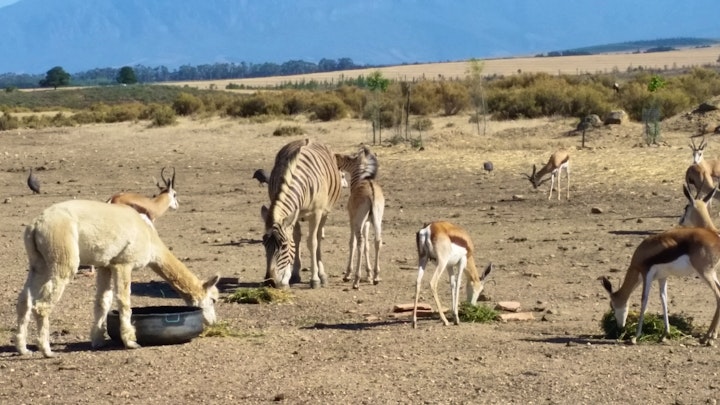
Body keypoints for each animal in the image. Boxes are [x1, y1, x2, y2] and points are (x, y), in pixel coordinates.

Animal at [16, 200, 219, 356]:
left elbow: (103, 302)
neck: (150, 240)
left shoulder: (106, 265)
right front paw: (131, 341)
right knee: (42, 305)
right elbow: (124, 301)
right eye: (214, 300)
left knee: (24, 300)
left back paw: (23, 348)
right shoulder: (124, 263)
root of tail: (36, 225)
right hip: (62, 256)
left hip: (39, 263)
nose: (214, 322)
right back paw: (46, 351)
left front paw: (98, 340)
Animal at [260, 138, 342, 288]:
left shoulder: (316, 214)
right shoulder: (294, 214)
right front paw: (290, 276)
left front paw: (315, 279)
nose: (270, 282)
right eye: (264, 244)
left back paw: (322, 275)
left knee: (318, 238)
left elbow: (312, 243)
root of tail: (308, 139)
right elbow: (295, 240)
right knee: (299, 237)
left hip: (325, 213)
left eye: (283, 246)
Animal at [334, 145, 386, 288]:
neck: (363, 179)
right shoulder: (367, 222)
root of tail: (371, 191)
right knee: (377, 241)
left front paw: (348, 274)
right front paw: (369, 274)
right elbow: (368, 245)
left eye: (349, 157)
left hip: (358, 221)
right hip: (377, 220)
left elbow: (352, 243)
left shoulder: (352, 220)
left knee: (360, 243)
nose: (335, 155)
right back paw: (376, 277)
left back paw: (356, 280)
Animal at [600, 183, 720, 344]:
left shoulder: (646, 274)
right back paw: (709, 337)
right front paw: (664, 334)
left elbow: (644, 300)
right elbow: (663, 299)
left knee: (718, 295)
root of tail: (715, 237)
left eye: (612, 305)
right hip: (711, 272)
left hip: (705, 272)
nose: (620, 326)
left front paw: (635, 337)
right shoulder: (662, 277)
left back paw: (707, 338)